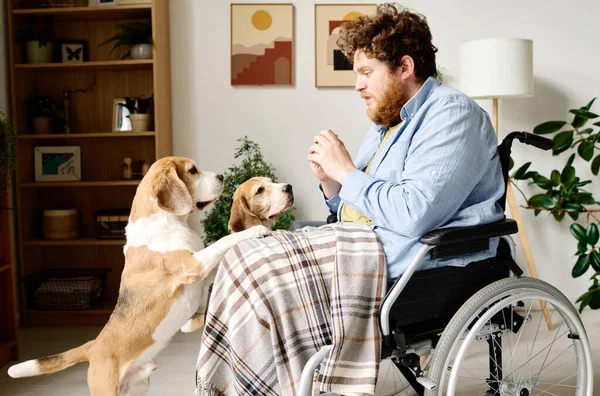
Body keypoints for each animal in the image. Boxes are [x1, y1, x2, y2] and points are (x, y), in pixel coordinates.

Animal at [8, 157, 270, 396]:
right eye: (192, 170)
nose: (221, 177)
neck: (166, 221)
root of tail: (94, 346)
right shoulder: (193, 264)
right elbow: (223, 241)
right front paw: (256, 230)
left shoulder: (200, 271)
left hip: (137, 387)